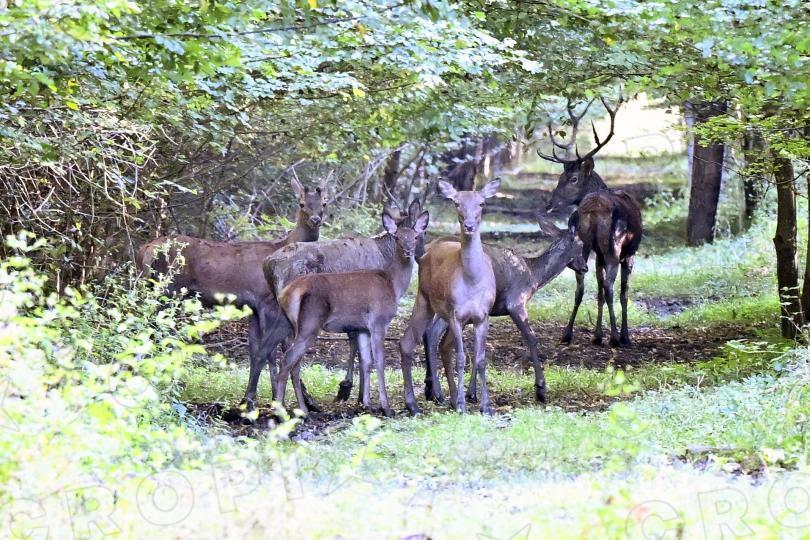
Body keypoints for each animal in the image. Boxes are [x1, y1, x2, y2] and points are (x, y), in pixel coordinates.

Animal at [136, 176, 328, 391]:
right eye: (302, 204)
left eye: (324, 203)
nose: (315, 220)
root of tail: (145, 251)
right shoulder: (266, 300)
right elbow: (270, 351)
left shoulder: (254, 307)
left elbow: (255, 350)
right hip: (169, 289)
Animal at [242, 202, 427, 413]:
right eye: (398, 237)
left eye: (417, 236)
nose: (413, 252)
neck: (391, 281)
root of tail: (268, 264)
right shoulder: (376, 321)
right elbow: (377, 360)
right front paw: (379, 405)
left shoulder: (361, 326)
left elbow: (366, 360)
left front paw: (364, 402)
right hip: (304, 322)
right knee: (286, 356)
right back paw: (288, 407)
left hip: (282, 318)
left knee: (265, 350)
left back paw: (261, 403)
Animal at [399, 178, 500, 415]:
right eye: (456, 203)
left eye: (482, 203)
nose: (469, 225)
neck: (472, 282)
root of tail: (425, 254)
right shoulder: (456, 313)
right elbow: (461, 358)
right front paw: (463, 404)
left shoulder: (483, 316)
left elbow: (481, 359)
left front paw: (486, 406)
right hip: (424, 300)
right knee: (409, 341)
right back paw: (415, 404)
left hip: (440, 312)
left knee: (436, 342)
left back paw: (443, 398)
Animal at [421, 214, 588, 405]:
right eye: (581, 244)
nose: (585, 267)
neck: (533, 277)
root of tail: (427, 249)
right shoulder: (515, 302)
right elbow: (532, 339)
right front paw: (540, 388)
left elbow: (479, 347)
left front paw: (472, 393)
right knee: (433, 335)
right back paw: (437, 392)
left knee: (431, 333)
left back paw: (434, 391)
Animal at [535, 95, 643, 347]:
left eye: (572, 178)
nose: (549, 204)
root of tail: (592, 210)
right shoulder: (630, 253)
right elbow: (623, 293)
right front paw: (624, 335)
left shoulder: (597, 255)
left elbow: (598, 292)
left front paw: (597, 334)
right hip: (613, 245)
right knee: (611, 287)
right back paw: (615, 337)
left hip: (583, 245)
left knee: (581, 286)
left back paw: (568, 333)